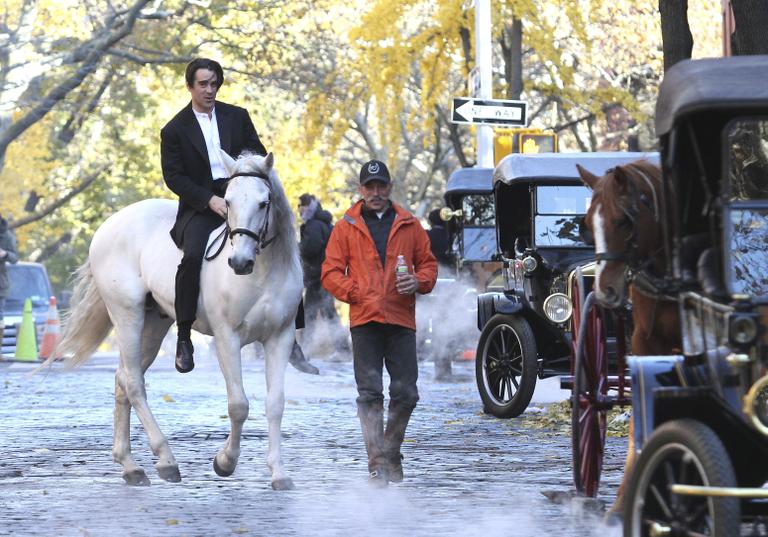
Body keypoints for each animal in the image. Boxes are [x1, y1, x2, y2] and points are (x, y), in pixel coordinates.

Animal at [45, 151, 304, 490]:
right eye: (228, 201)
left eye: (264, 203)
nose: (239, 262)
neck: (262, 273)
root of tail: (108, 225)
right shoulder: (227, 337)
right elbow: (238, 405)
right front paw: (225, 462)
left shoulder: (279, 338)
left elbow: (275, 404)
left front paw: (279, 473)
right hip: (127, 314)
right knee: (134, 383)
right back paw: (165, 460)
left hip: (154, 324)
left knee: (122, 378)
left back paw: (130, 466)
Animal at [580, 160, 680, 516]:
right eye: (586, 225)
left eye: (623, 220)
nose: (604, 290)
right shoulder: (643, 344)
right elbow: (640, 417)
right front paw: (625, 502)